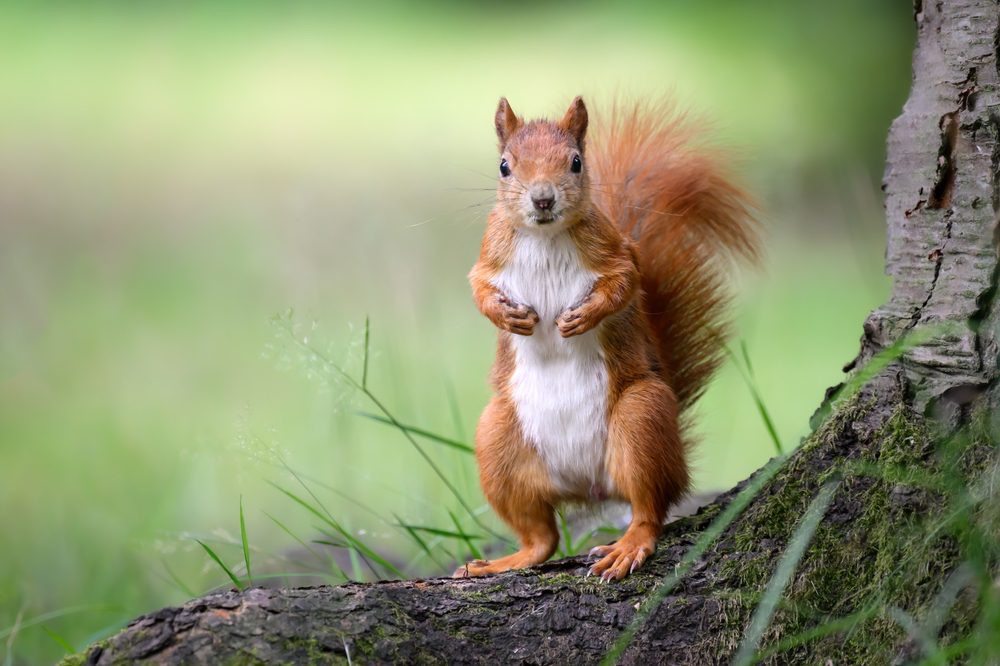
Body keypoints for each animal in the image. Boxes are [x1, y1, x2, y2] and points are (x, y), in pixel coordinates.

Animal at [456, 96, 759, 581]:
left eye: (576, 162)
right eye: (504, 166)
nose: (543, 198)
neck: (545, 237)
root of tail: (591, 488)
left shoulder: (617, 253)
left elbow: (623, 283)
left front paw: (582, 318)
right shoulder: (488, 255)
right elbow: (479, 288)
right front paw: (507, 316)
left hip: (640, 419)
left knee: (649, 509)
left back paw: (629, 546)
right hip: (497, 441)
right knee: (541, 537)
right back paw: (505, 562)